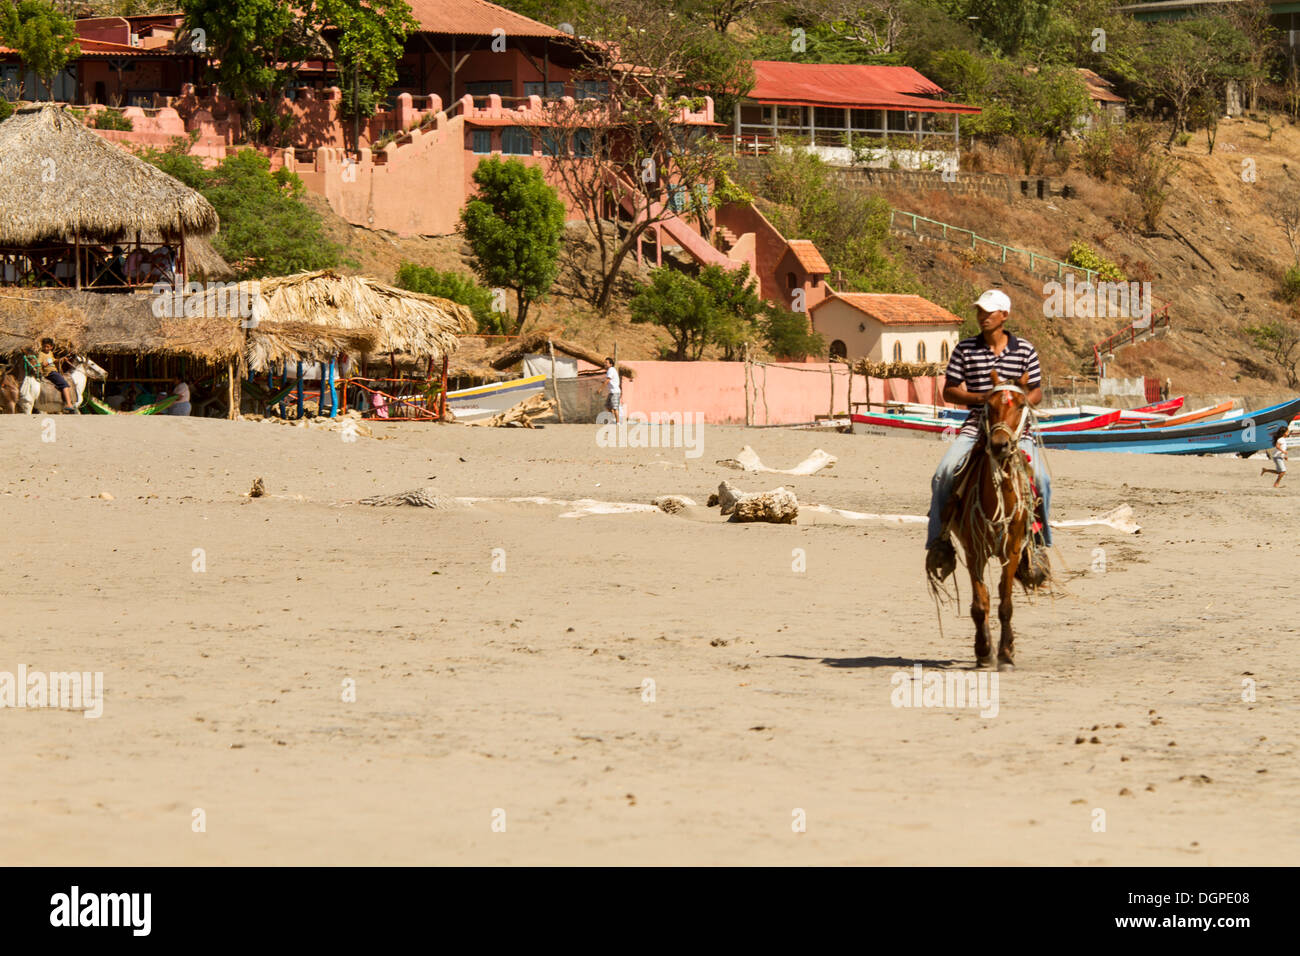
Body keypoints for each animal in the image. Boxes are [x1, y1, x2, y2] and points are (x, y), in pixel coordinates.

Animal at [946, 369, 1034, 671]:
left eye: (1020, 406)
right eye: (989, 405)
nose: (999, 445)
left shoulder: (1013, 550)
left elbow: (1005, 603)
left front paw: (1006, 653)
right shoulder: (974, 551)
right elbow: (979, 603)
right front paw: (984, 651)